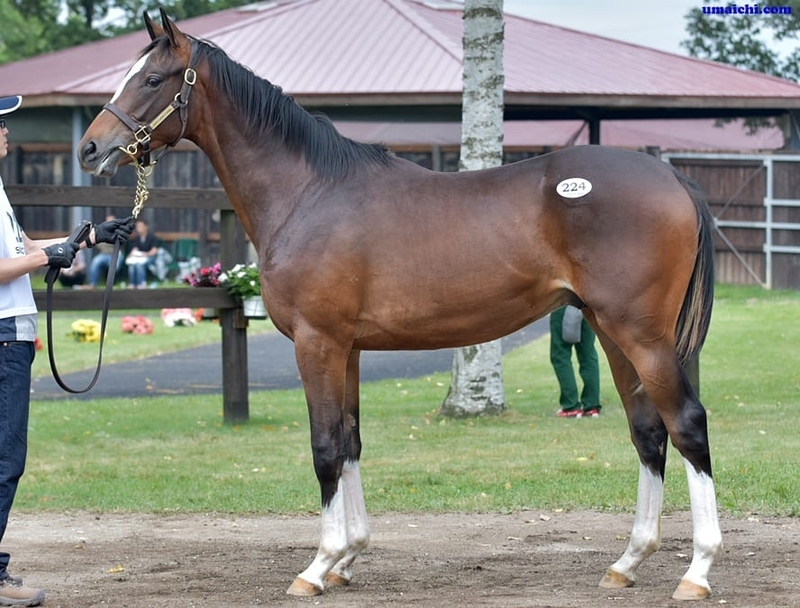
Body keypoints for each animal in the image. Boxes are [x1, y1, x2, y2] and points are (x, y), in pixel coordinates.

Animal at [78, 9, 721, 601]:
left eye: (153, 78)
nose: (90, 148)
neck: (309, 194)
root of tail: (674, 179)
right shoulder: (349, 349)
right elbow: (351, 442)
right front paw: (347, 559)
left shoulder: (317, 343)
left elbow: (325, 448)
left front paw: (317, 566)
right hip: (612, 333)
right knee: (648, 432)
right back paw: (628, 562)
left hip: (640, 336)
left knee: (686, 424)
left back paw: (697, 572)